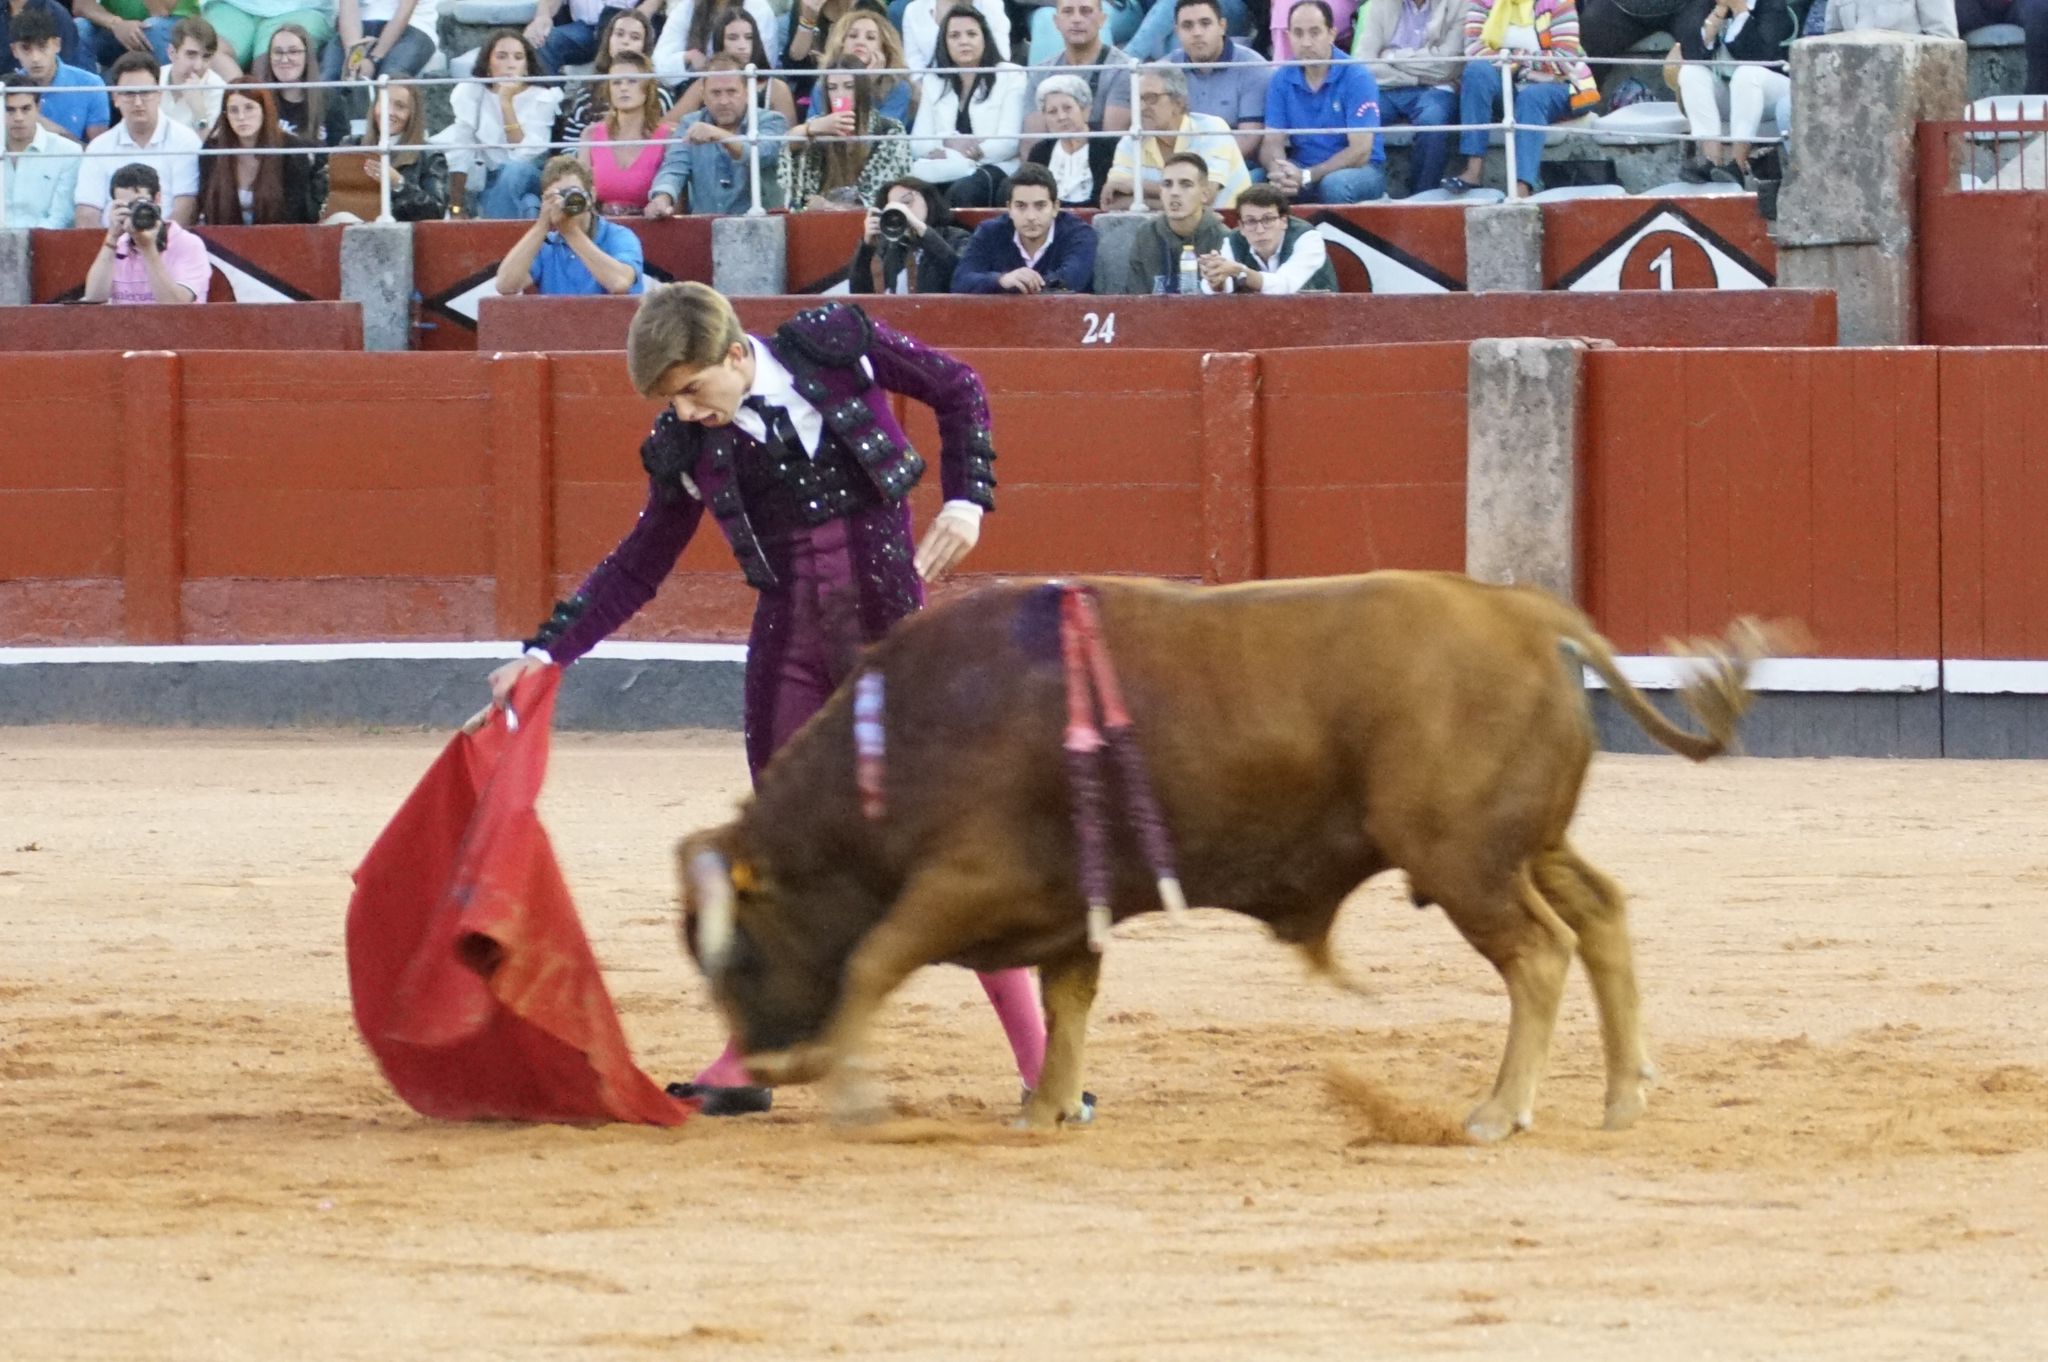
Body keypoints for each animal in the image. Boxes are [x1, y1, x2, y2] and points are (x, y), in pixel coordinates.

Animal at [671, 569, 1761, 1138]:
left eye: (740, 953)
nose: (762, 1059)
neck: (895, 738)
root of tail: (1521, 607)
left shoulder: (966, 882)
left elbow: (873, 959)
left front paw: (857, 1091)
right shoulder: (1065, 901)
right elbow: (1068, 999)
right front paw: (1048, 1106)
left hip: (1465, 860)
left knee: (1537, 954)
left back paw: (1498, 1111)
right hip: (1524, 844)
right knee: (1600, 913)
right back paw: (1622, 1095)